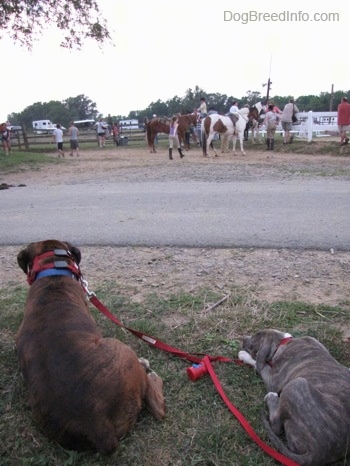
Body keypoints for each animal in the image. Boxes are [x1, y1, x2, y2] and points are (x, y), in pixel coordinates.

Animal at [238, 330, 350, 464]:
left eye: (252, 346)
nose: (243, 338)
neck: (282, 342)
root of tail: (318, 452)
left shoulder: (273, 380)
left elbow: (261, 365)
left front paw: (244, 356)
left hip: (296, 385)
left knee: (276, 426)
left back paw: (271, 398)